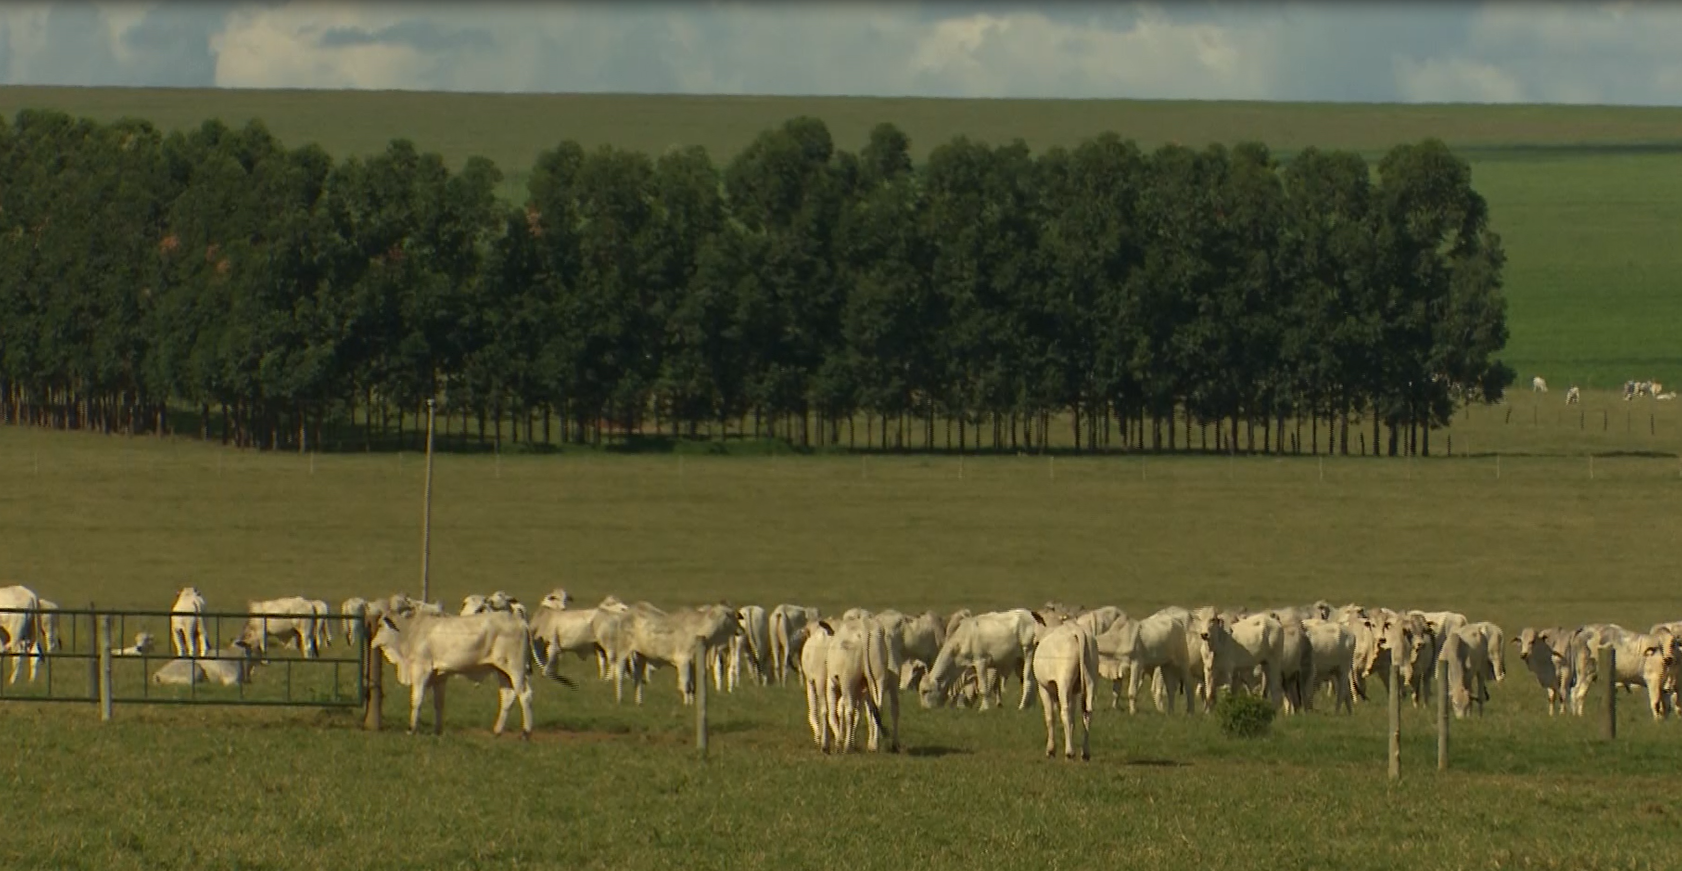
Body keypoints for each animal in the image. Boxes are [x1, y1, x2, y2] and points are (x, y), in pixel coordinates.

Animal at [371, 612, 534, 739]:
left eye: (380, 626)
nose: (372, 643)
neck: (410, 632)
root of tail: (520, 622)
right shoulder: (439, 677)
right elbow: (438, 704)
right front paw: (437, 730)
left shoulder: (421, 670)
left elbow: (416, 700)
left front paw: (411, 729)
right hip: (502, 672)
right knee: (507, 696)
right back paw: (497, 731)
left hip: (515, 668)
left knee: (525, 694)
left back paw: (526, 733)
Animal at [1029, 625, 1096, 760]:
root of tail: (1077, 631)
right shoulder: (1073, 693)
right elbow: (1072, 719)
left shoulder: (1044, 688)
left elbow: (1050, 717)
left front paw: (1050, 750)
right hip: (1091, 678)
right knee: (1087, 713)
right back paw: (1085, 752)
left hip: (1064, 682)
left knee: (1065, 712)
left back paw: (1069, 752)